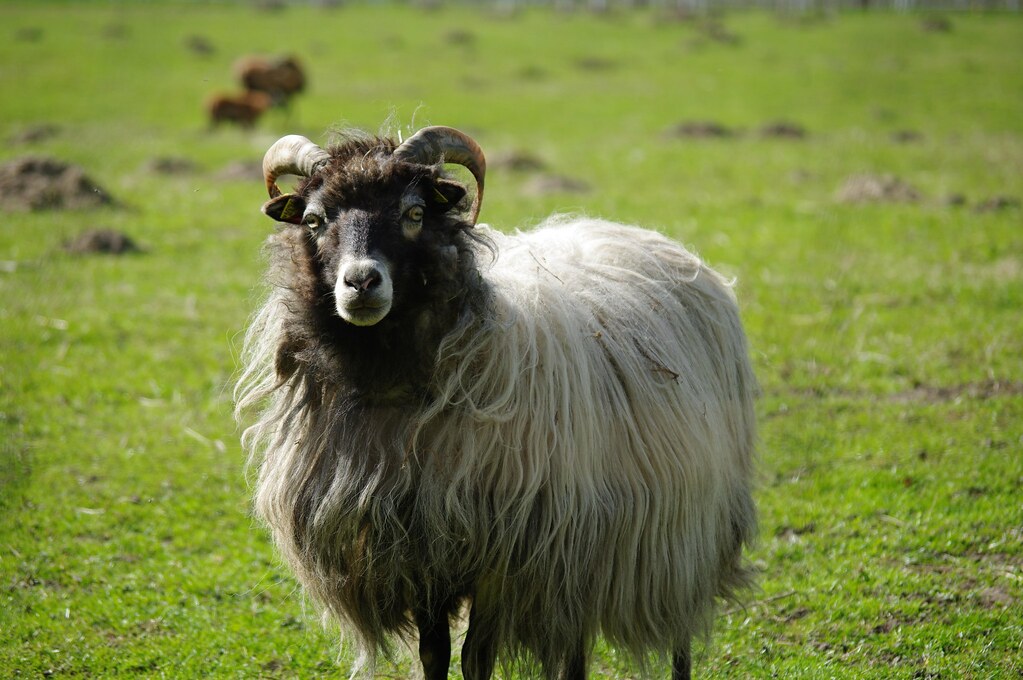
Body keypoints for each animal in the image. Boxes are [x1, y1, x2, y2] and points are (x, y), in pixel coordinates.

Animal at [235, 125, 758, 679]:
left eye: (413, 213)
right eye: (315, 220)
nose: (360, 283)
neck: (391, 384)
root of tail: (635, 233)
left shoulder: (502, 558)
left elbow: (476, 658)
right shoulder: (420, 552)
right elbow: (434, 653)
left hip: (683, 525)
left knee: (680, 628)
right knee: (575, 642)